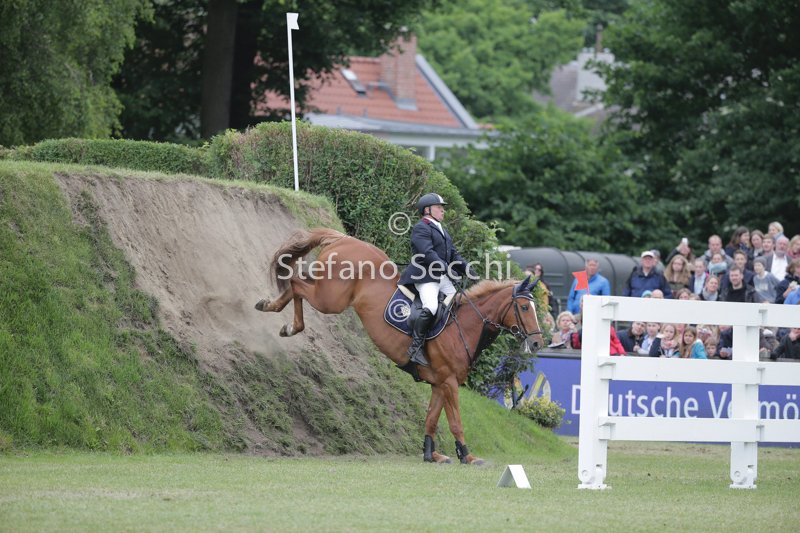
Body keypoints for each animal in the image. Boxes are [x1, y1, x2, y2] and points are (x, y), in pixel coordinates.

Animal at [255, 228, 544, 464]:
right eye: (523, 307)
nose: (537, 342)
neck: (465, 325)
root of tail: (345, 239)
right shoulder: (450, 382)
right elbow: (455, 422)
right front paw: (467, 455)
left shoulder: (439, 383)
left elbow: (431, 419)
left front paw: (431, 455)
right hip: (331, 298)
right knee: (296, 284)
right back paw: (282, 317)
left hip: (327, 290)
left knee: (298, 281)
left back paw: (276, 313)